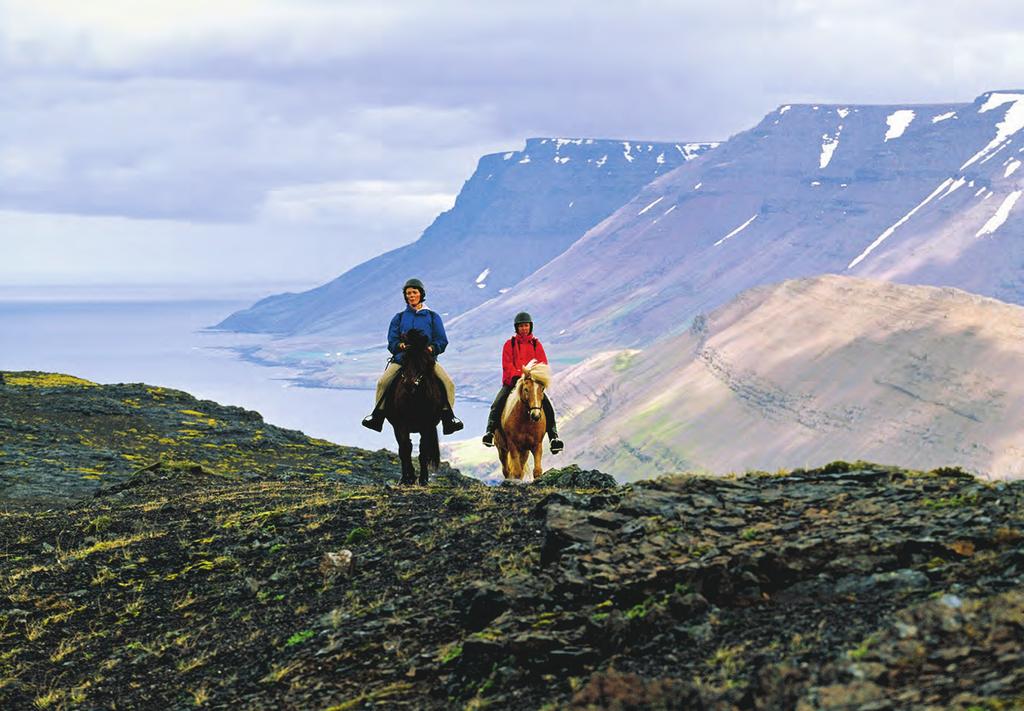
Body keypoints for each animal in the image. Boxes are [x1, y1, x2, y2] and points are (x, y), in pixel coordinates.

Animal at [385, 331, 442, 487]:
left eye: (423, 360)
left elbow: (423, 451)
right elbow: (405, 449)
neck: (414, 399)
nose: (409, 384)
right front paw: (408, 478)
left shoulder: (427, 426)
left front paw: (423, 479)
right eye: (405, 359)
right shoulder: (400, 425)